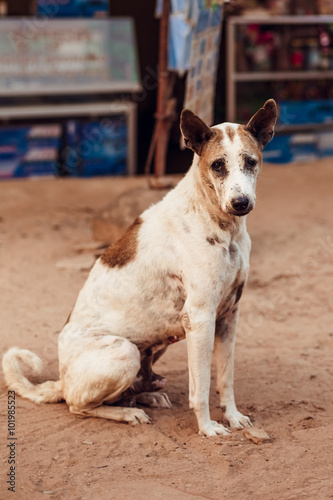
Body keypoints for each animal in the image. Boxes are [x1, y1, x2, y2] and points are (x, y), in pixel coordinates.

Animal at [2, 100, 276, 438]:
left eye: (251, 162)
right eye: (217, 165)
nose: (240, 203)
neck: (222, 224)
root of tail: (62, 380)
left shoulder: (228, 316)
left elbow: (226, 379)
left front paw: (234, 417)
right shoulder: (200, 318)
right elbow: (200, 388)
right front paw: (207, 427)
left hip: (156, 341)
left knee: (124, 390)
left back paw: (146, 395)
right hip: (125, 352)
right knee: (78, 405)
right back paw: (127, 412)